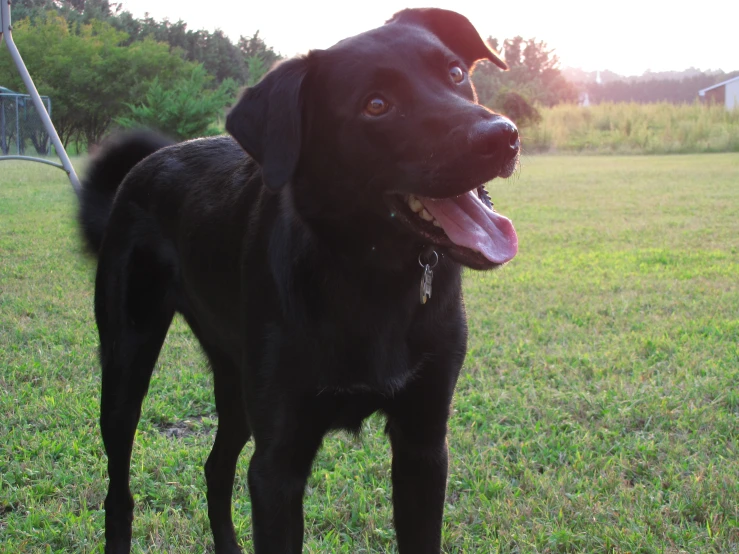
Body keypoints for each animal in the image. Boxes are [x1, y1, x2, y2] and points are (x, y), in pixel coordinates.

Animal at [79, 8, 520, 552]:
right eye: (376, 104)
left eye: (456, 73)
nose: (502, 136)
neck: (370, 277)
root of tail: (144, 166)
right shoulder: (278, 467)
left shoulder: (423, 444)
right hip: (127, 367)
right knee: (119, 492)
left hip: (234, 380)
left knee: (215, 467)